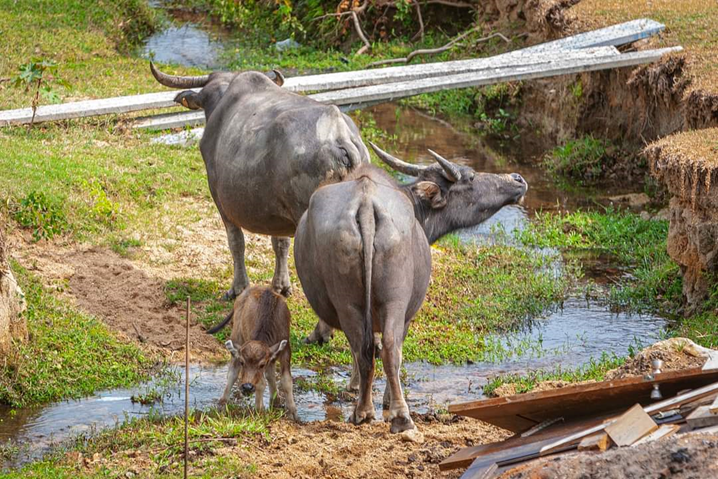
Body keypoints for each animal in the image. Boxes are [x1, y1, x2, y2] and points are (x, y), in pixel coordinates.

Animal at [148, 62, 368, 298]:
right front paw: (281, 286)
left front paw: (238, 287)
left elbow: (236, 242)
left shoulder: (220, 199)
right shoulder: (279, 212)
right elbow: (281, 243)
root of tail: (340, 140)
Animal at [211, 284, 298, 420]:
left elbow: (285, 380)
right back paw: (222, 403)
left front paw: (292, 411)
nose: (247, 387)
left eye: (261, 364)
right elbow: (260, 382)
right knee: (232, 373)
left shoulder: (285, 349)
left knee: (270, 374)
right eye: (242, 362)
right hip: (236, 334)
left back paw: (275, 401)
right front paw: (259, 409)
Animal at [294, 143, 528, 436]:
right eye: (471, 176)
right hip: (390, 301)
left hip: (355, 302)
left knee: (369, 349)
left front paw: (357, 386)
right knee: (388, 348)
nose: (518, 179)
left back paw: (373, 411)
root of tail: (365, 205)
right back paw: (387, 413)